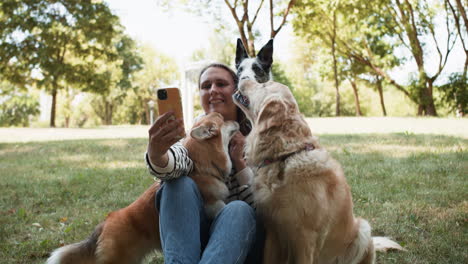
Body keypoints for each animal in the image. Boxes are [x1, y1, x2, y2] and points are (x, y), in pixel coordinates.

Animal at [234, 80, 380, 264]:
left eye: (264, 84)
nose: (242, 77)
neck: (285, 156)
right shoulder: (272, 231)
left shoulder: (305, 238)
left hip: (363, 229)